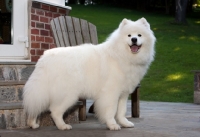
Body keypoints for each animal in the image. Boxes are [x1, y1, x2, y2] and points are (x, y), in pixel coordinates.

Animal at [23, 17, 156, 131]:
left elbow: (121, 112)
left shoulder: (123, 94)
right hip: (68, 95)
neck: (122, 55)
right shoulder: (110, 93)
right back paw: (63, 126)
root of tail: (45, 57)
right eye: (129, 35)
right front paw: (112, 125)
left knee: (36, 107)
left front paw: (124, 123)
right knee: (54, 111)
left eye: (139, 35)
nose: (134, 39)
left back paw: (32, 124)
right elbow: (111, 111)